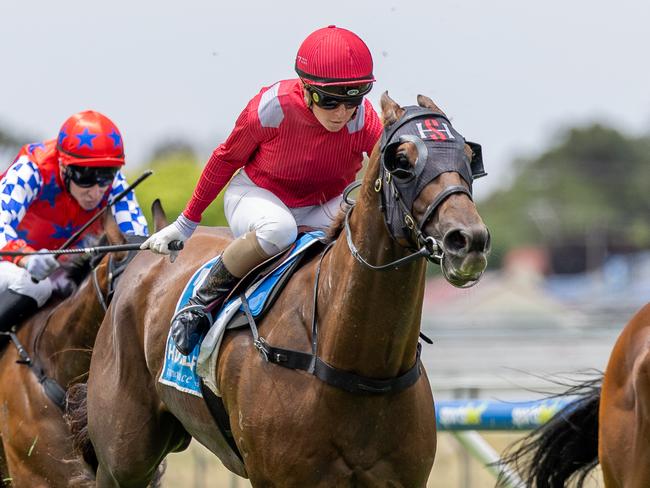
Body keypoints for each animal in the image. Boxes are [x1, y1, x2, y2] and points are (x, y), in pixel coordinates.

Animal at [79, 92, 486, 488]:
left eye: (469, 156)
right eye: (402, 160)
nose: (468, 240)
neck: (354, 363)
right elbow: (228, 156)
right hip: (123, 457)